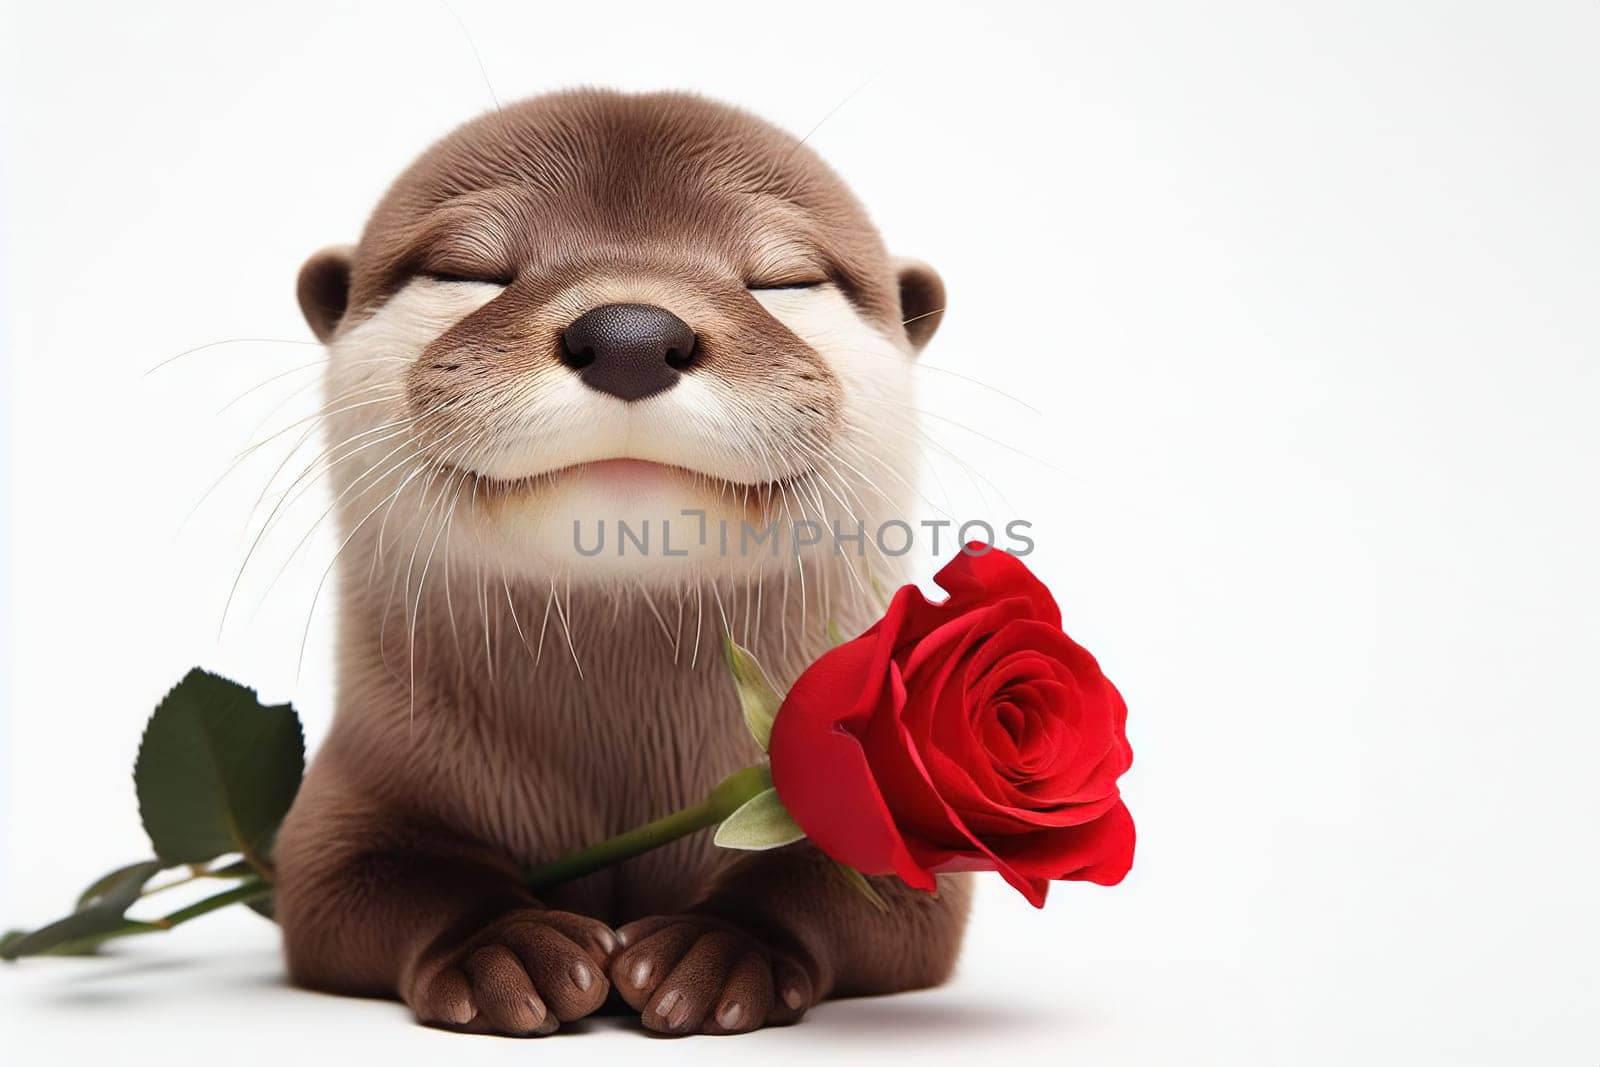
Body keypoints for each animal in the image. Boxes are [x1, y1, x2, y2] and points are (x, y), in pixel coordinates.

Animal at [276, 87, 966, 1036]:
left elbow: (845, 886)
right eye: (471, 271)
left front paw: (716, 952)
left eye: (782, 281)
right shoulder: (354, 793)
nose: (632, 334)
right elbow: (360, 875)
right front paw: (505, 946)